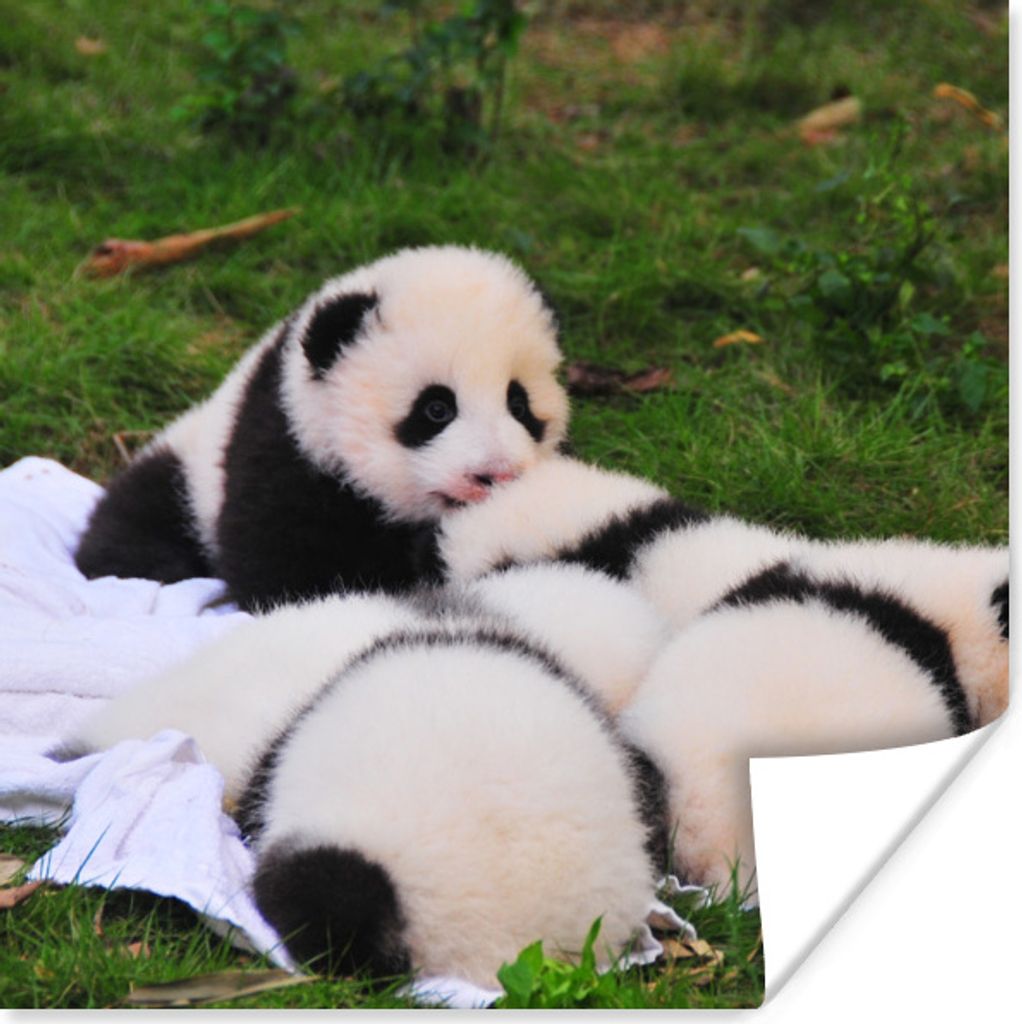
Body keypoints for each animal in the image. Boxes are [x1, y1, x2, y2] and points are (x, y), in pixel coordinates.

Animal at [73, 245, 569, 611]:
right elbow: (292, 573)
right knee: (135, 532)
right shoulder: (283, 449)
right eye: (436, 409)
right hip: (188, 477)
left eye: (518, 403)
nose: (496, 474)